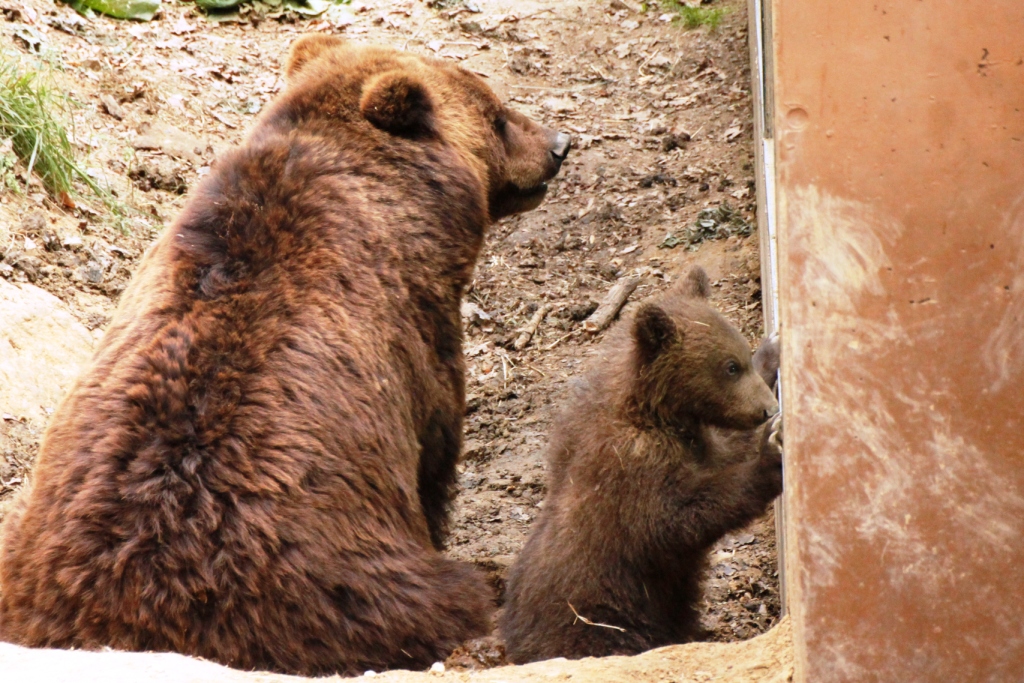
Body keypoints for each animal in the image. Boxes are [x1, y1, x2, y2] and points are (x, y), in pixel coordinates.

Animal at [0, 34, 569, 675]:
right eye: (497, 115)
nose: (558, 145)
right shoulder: (416, 334)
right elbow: (437, 452)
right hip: (343, 583)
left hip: (24, 535)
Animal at [499, 266, 778, 663]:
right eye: (730, 367)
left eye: (740, 354)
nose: (768, 409)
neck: (654, 413)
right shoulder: (630, 467)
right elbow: (678, 515)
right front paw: (771, 458)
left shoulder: (698, 444)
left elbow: (724, 452)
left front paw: (772, 352)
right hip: (601, 614)